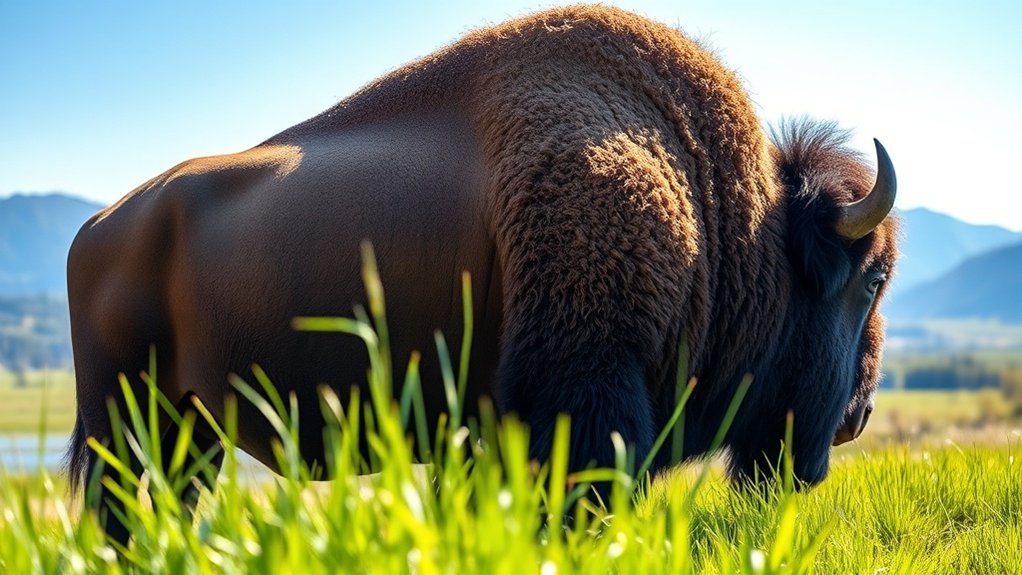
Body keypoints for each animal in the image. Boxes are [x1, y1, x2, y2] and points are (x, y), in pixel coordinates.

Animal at [66, 5, 898, 544]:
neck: (729, 219)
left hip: (187, 430)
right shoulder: (585, 400)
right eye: (870, 282)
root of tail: (97, 230)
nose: (857, 416)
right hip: (125, 423)